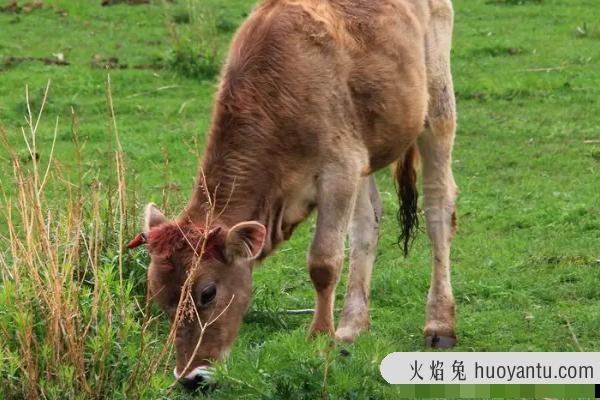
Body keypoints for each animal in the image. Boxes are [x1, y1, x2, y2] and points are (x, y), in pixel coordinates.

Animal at [131, 0, 458, 388]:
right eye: (159, 295)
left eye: (207, 292)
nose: (190, 376)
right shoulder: (352, 163)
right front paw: (334, 335)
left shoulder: (338, 170)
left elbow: (323, 262)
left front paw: (318, 339)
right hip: (367, 151)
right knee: (368, 222)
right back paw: (351, 327)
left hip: (437, 105)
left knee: (438, 206)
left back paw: (440, 323)